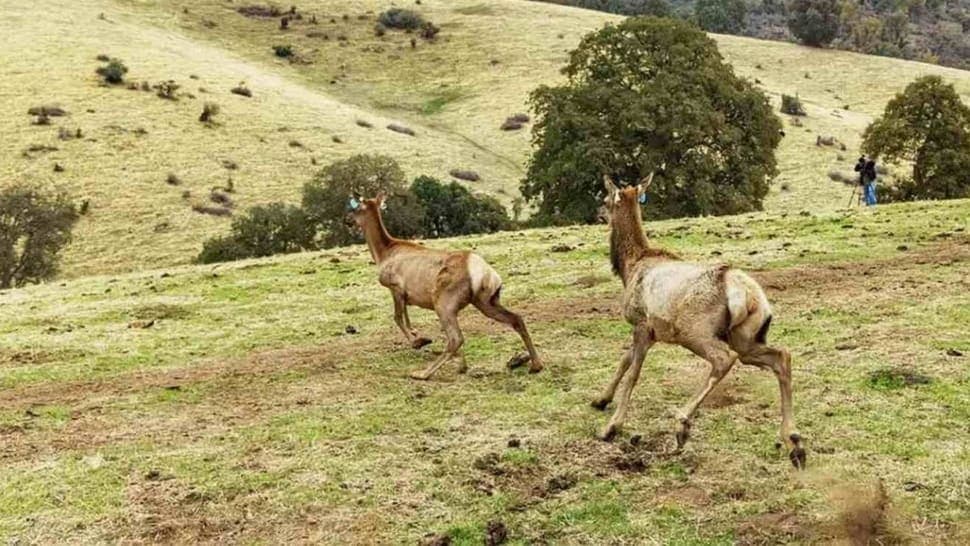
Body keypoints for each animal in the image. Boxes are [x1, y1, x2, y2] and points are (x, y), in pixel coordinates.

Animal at [345, 192, 544, 380]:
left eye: (356, 208)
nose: (346, 220)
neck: (383, 254)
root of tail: (485, 273)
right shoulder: (406, 294)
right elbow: (407, 318)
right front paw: (417, 334)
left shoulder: (395, 286)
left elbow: (398, 318)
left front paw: (418, 341)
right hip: (487, 300)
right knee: (516, 319)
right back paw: (535, 365)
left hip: (444, 301)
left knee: (456, 338)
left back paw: (423, 373)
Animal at [594, 173, 805, 468]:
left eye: (605, 199)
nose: (598, 214)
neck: (629, 268)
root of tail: (747, 295)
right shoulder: (651, 331)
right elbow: (625, 360)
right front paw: (600, 399)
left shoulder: (642, 323)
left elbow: (633, 372)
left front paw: (612, 427)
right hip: (746, 337)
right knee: (781, 356)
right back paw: (794, 441)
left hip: (695, 330)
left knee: (723, 359)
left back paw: (682, 423)